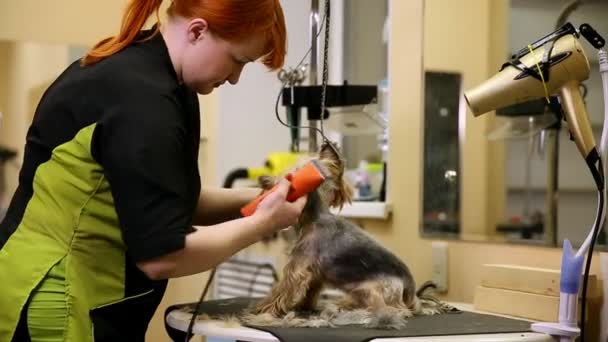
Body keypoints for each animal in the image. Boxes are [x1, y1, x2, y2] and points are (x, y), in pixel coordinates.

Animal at [239, 142, 456, 328]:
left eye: (286, 174)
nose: (263, 180)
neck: (314, 216)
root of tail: (411, 293)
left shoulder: (298, 268)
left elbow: (281, 291)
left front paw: (262, 308)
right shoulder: (314, 275)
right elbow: (308, 292)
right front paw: (303, 307)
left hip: (373, 289)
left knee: (396, 309)